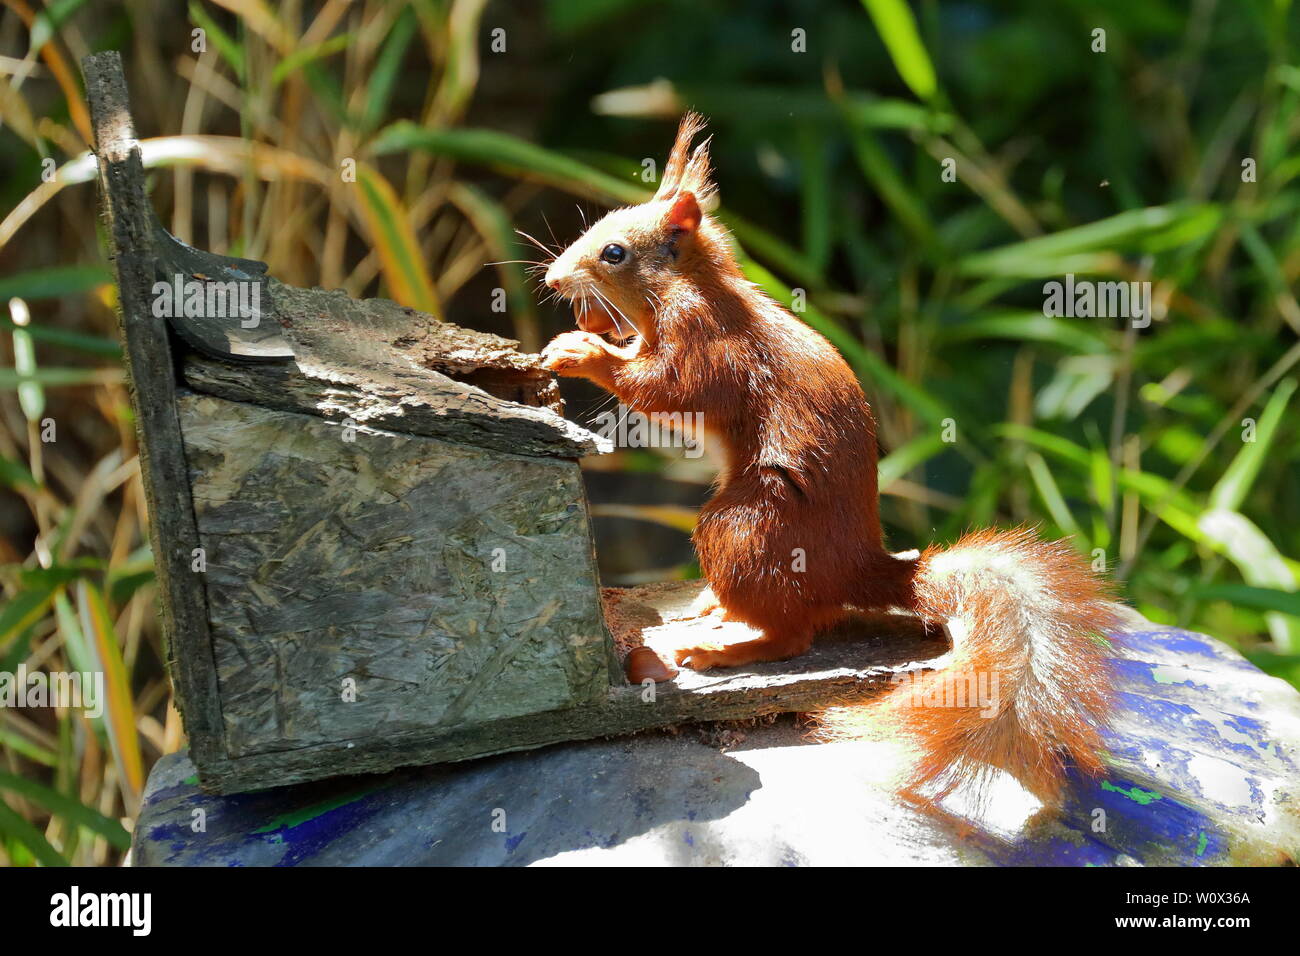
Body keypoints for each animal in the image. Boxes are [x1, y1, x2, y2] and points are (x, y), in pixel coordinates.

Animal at [538, 113, 1118, 806]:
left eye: (614, 252)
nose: (552, 280)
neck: (692, 287)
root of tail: (858, 570)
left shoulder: (708, 345)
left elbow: (667, 391)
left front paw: (584, 352)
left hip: (748, 527)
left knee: (793, 635)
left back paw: (721, 651)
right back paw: (712, 607)